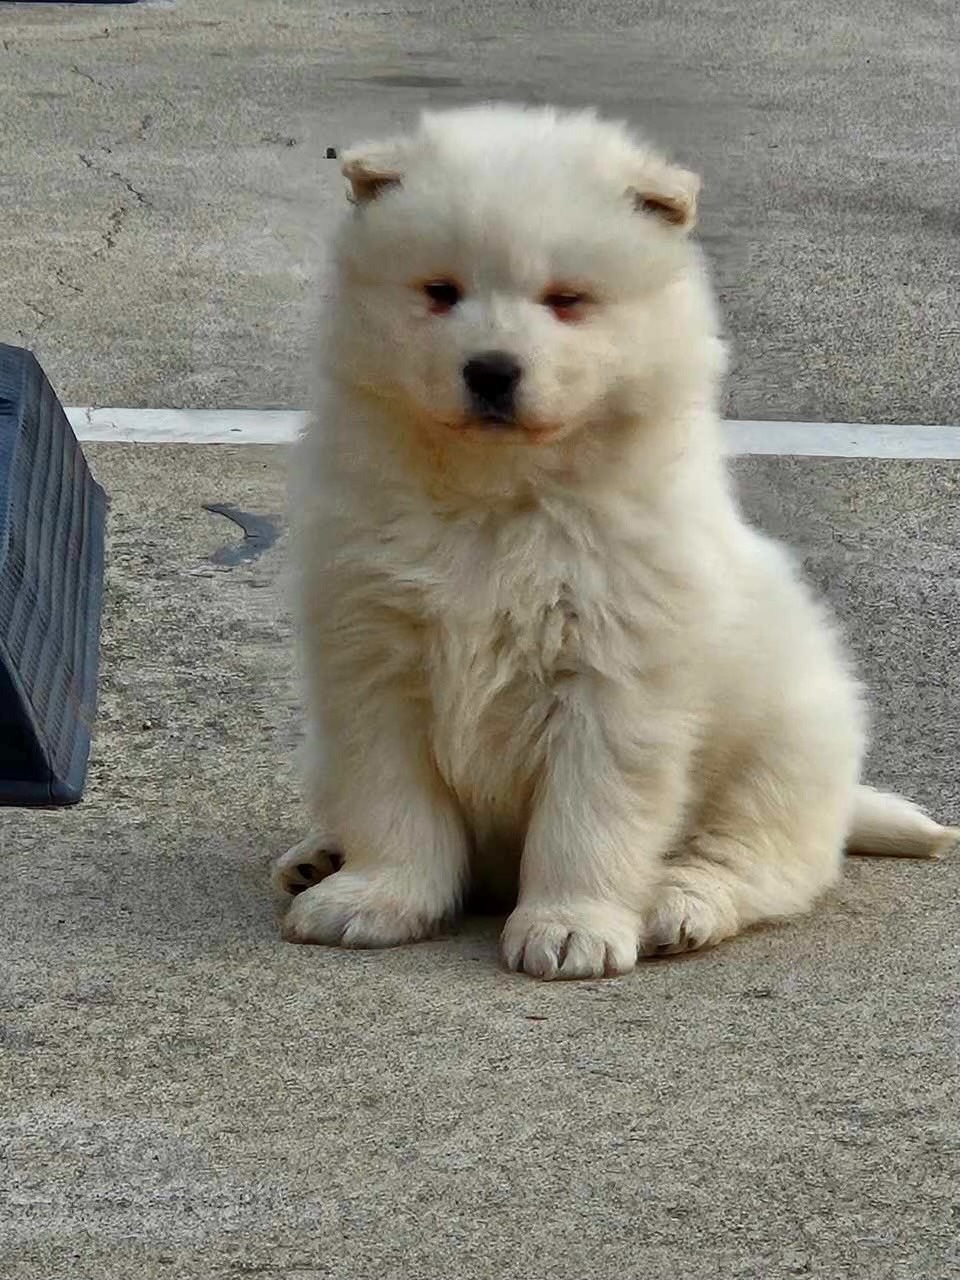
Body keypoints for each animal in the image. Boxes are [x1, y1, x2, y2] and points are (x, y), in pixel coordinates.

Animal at [273, 102, 957, 977]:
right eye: (440, 292)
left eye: (567, 300)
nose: (491, 370)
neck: (500, 502)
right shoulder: (375, 661)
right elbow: (394, 803)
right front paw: (375, 898)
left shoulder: (613, 676)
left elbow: (586, 819)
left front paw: (571, 927)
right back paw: (317, 857)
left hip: (783, 751)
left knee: (757, 861)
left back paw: (676, 904)